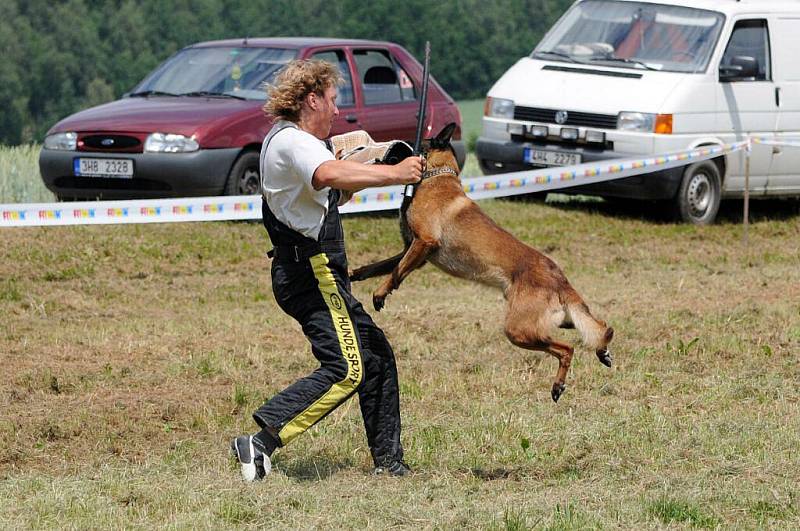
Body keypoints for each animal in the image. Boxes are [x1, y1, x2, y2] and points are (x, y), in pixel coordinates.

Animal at [350, 122, 612, 402]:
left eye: (411, 141)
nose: (388, 145)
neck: (437, 176)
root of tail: (558, 278)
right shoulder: (412, 251)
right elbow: (376, 267)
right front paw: (352, 274)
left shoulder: (424, 244)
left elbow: (395, 273)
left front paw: (381, 293)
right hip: (553, 321)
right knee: (598, 327)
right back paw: (602, 351)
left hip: (518, 330)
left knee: (567, 348)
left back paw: (559, 384)